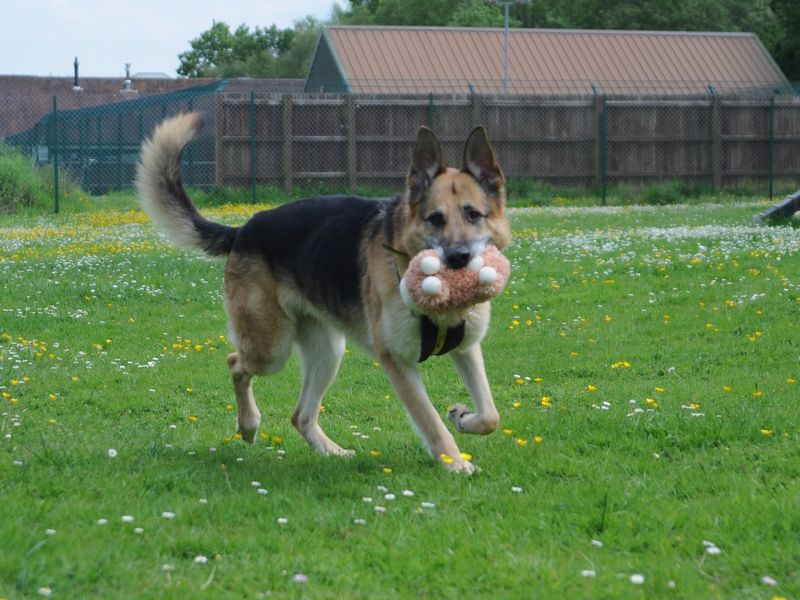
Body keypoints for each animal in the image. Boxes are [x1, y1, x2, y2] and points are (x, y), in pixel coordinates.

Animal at [136, 110, 512, 472]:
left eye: (473, 215)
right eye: (435, 219)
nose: (458, 259)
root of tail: (244, 229)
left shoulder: (466, 348)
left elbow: (490, 415)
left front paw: (463, 418)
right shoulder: (397, 361)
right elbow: (430, 421)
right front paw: (455, 463)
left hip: (328, 350)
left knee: (300, 415)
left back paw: (330, 451)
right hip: (272, 349)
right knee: (235, 363)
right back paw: (248, 425)